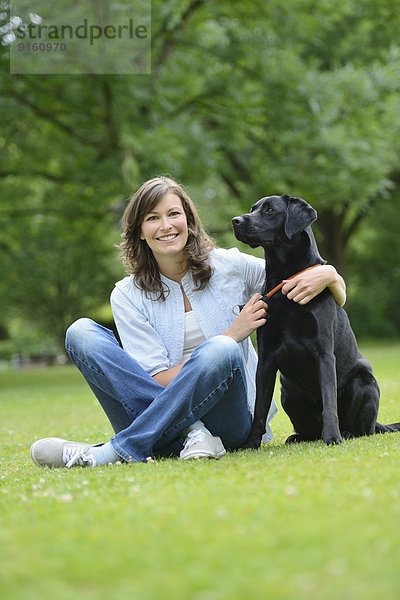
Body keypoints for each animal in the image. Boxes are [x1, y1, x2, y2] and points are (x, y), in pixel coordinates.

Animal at [231, 195, 400, 448]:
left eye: (270, 210)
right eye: (253, 209)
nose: (236, 221)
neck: (284, 277)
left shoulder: (324, 352)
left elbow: (329, 402)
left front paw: (332, 437)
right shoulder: (267, 357)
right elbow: (260, 408)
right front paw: (251, 444)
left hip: (363, 380)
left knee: (364, 430)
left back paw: (345, 433)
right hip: (287, 389)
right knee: (309, 430)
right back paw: (298, 437)